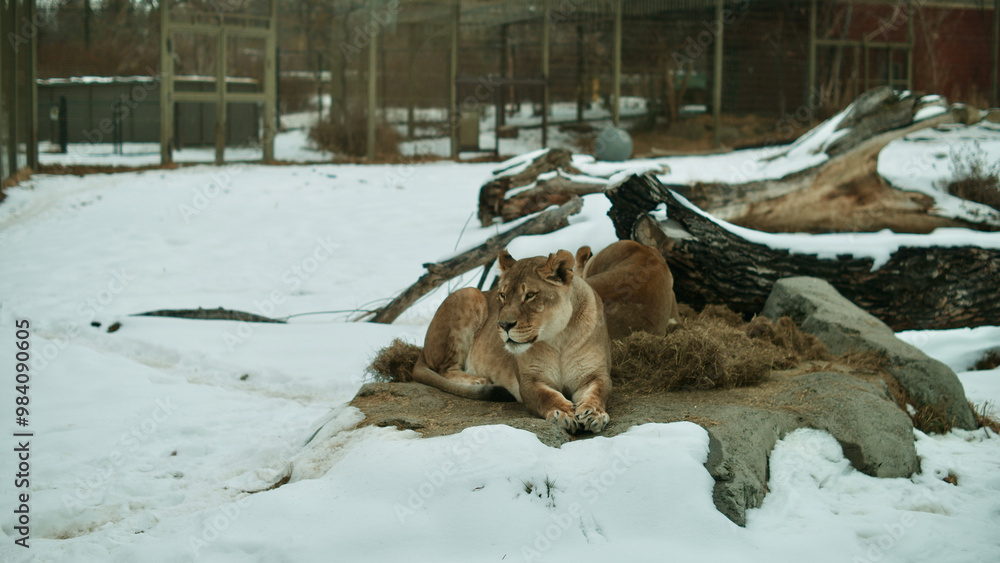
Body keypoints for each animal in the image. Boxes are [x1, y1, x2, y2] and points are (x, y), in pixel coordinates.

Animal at [410, 249, 612, 433]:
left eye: (530, 295)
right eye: (502, 295)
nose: (504, 325)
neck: (558, 339)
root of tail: (422, 349)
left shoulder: (595, 374)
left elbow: (598, 392)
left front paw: (594, 414)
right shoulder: (529, 381)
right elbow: (547, 396)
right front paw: (563, 413)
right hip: (469, 293)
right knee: (444, 369)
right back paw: (478, 381)